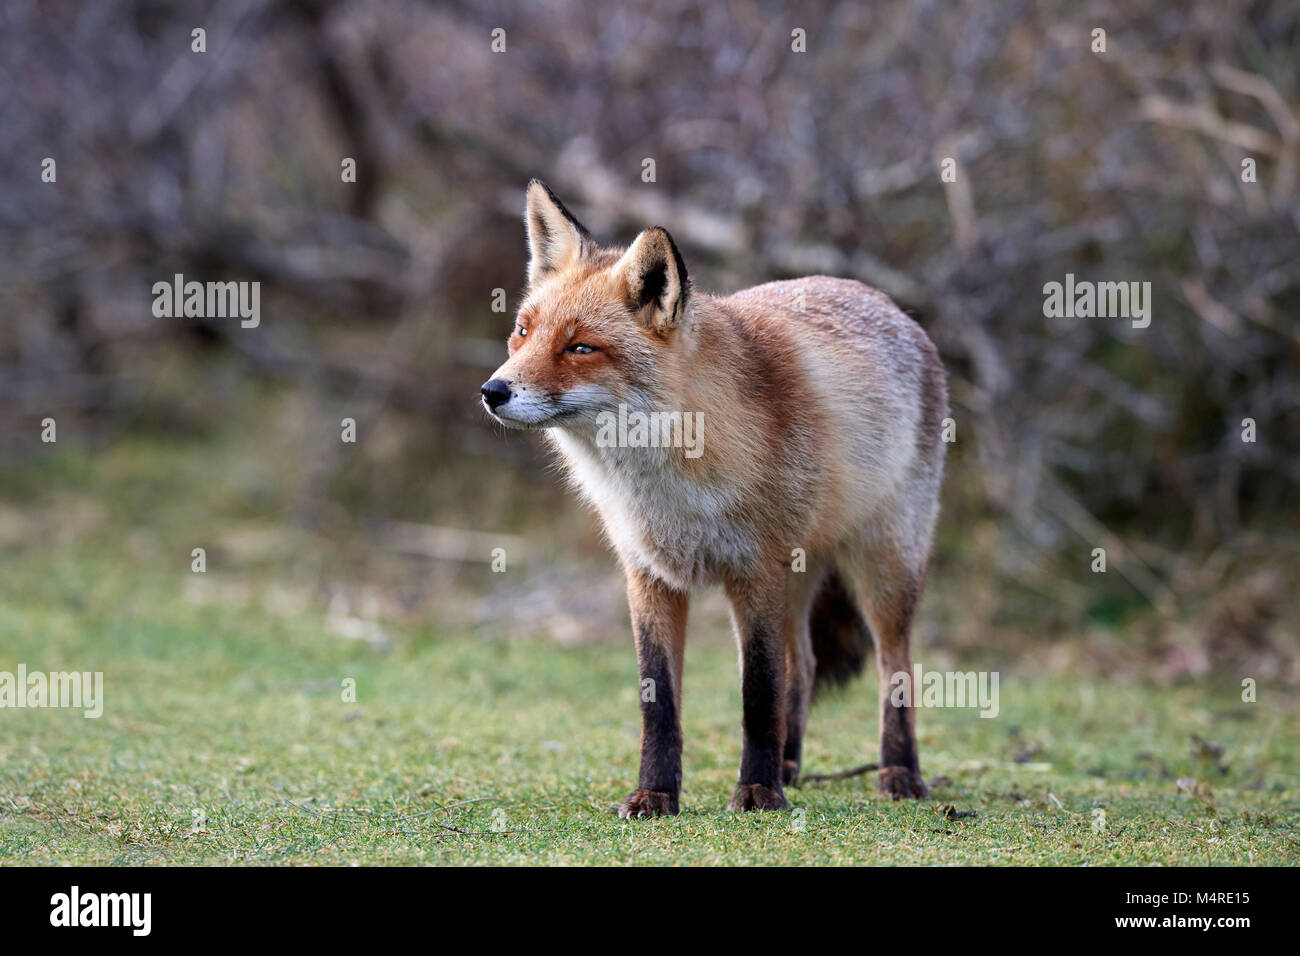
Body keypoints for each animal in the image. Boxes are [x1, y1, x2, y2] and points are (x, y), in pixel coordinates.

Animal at [481, 180, 948, 816]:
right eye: (524, 332)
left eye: (580, 348)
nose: (492, 391)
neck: (673, 479)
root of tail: (895, 308)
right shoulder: (647, 574)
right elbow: (659, 702)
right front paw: (656, 793)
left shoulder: (754, 571)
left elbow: (757, 692)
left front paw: (756, 792)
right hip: (801, 575)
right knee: (803, 665)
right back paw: (790, 766)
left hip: (884, 567)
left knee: (893, 664)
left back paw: (898, 773)